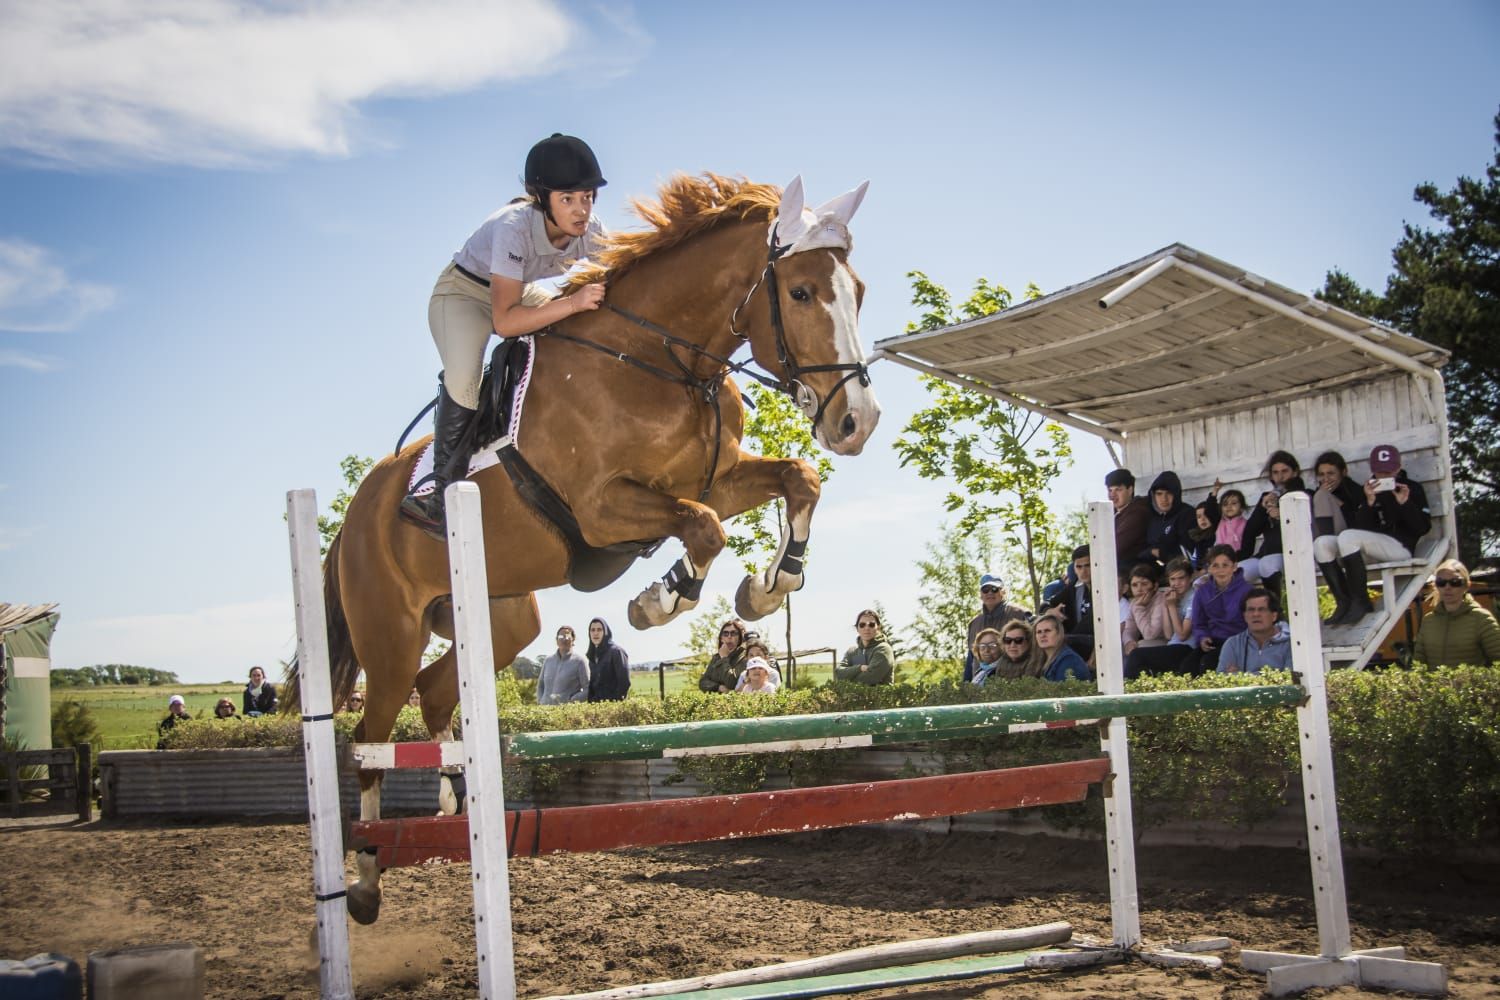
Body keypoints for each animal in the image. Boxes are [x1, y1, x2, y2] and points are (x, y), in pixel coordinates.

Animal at [289, 172, 876, 923]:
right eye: (800, 292)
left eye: (857, 290)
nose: (857, 422)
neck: (661, 361)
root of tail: (353, 519)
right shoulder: (601, 508)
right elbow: (703, 529)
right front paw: (659, 599)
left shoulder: (716, 479)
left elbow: (798, 479)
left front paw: (769, 586)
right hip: (389, 636)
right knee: (370, 737)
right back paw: (363, 881)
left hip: (503, 617)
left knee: (437, 695)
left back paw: (453, 811)